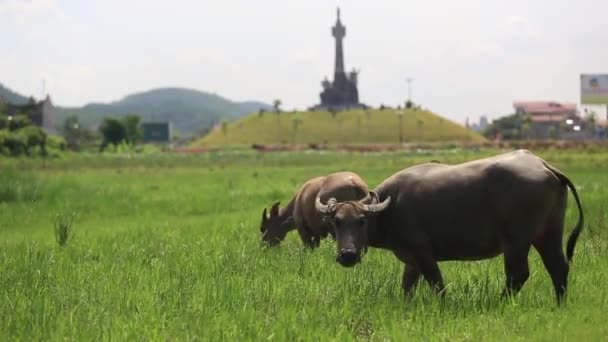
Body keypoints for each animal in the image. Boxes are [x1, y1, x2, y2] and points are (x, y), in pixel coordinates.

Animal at [316, 151, 580, 304]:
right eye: (336, 222)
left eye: (362, 221)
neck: (392, 208)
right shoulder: (411, 259)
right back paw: (559, 304)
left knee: (518, 274)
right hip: (548, 232)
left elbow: (436, 282)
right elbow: (407, 286)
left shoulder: (423, 252)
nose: (348, 255)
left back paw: (499, 302)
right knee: (558, 267)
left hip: (517, 240)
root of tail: (543, 165)